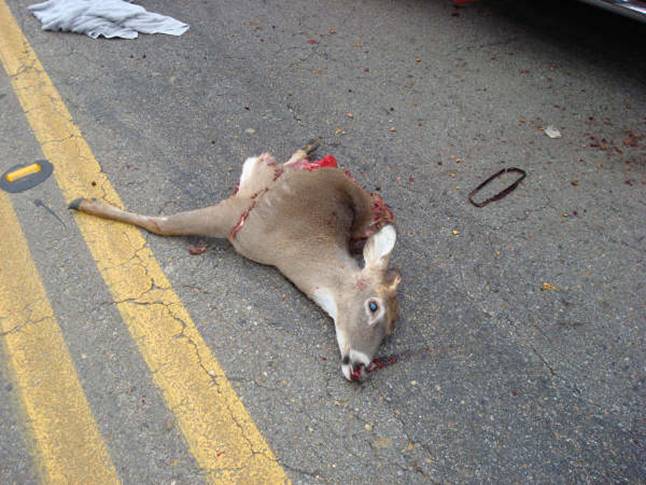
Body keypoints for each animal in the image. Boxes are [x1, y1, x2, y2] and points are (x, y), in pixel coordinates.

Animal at [68, 141, 401, 382]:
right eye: (373, 306)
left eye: (389, 333)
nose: (360, 366)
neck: (290, 249)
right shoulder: (239, 219)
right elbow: (163, 224)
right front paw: (84, 201)